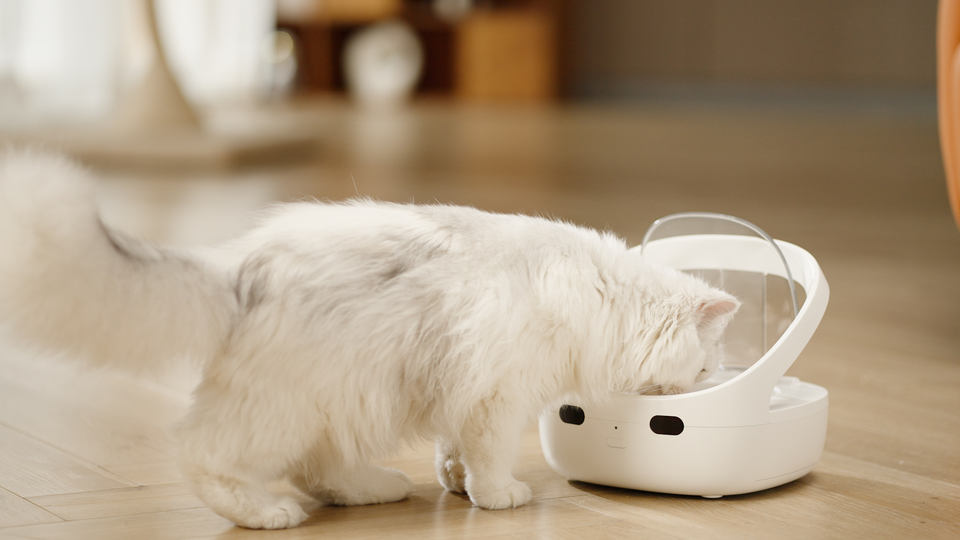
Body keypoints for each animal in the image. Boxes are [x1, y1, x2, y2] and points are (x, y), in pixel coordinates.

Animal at [0, 149, 739, 529]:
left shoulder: (465, 387)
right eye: (704, 367)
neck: (598, 295)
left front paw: (456, 484)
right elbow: (489, 454)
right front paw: (498, 496)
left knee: (323, 471)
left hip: (340, 403)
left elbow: (454, 449)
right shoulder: (497, 395)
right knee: (208, 456)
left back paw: (374, 489)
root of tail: (240, 268)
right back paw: (266, 511)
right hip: (288, 406)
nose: (705, 385)